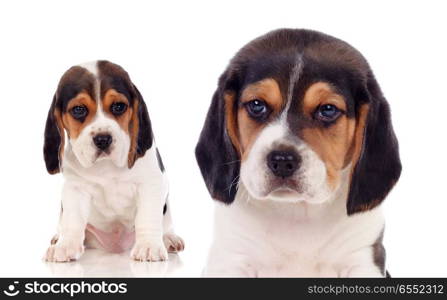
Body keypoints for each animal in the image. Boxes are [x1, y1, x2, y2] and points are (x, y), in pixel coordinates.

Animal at [44, 59, 185, 262]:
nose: (103, 139)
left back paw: (168, 238)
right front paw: (65, 246)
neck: (106, 168)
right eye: (78, 110)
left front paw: (149, 246)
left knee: (165, 223)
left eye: (118, 106)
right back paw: (58, 238)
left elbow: (148, 216)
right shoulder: (75, 188)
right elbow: (72, 219)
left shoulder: (152, 182)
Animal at [196, 29, 402, 278]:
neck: (296, 212)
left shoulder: (362, 260)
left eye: (328, 110)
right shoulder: (230, 259)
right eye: (257, 105)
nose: (282, 161)